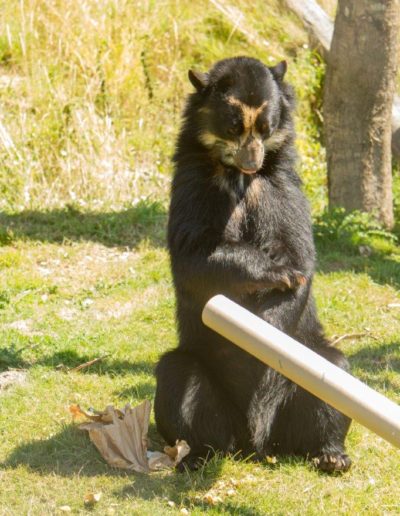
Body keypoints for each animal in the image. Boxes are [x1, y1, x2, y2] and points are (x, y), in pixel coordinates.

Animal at [155, 55, 352, 472]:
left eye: (267, 127)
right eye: (232, 127)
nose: (252, 160)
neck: (236, 177)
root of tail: (255, 442)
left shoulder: (281, 185)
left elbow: (298, 252)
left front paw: (265, 330)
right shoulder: (193, 182)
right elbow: (193, 255)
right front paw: (276, 272)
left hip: (303, 381)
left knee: (333, 372)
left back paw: (331, 455)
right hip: (204, 381)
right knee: (178, 379)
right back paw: (197, 454)